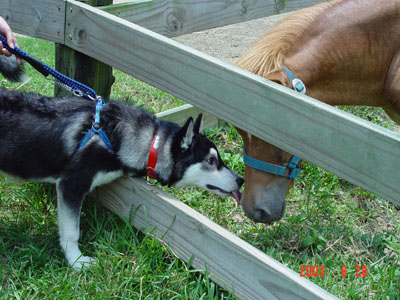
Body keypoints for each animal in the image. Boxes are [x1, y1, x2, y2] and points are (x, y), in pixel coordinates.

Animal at [0, 56, 244, 270]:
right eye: (211, 160)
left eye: (219, 158)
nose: (241, 180)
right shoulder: (71, 184)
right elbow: (71, 232)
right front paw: (77, 261)